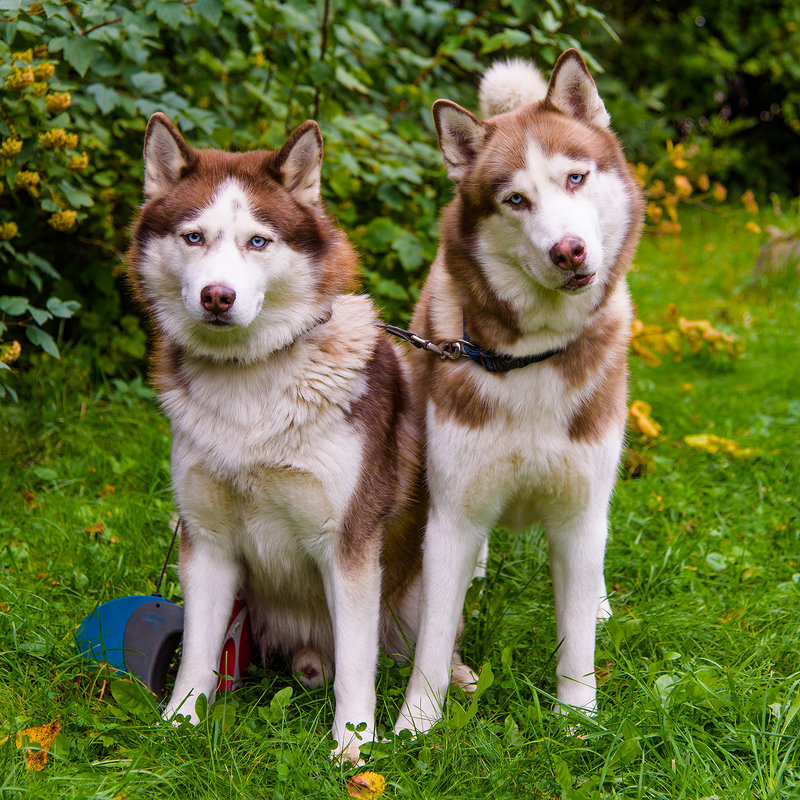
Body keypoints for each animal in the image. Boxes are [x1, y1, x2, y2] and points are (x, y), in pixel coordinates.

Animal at [130, 114, 434, 764]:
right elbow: (197, 653)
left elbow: (358, 667)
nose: (217, 296)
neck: (250, 381)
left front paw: (353, 750)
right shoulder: (207, 541)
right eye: (194, 237)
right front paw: (179, 724)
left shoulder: (347, 546)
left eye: (258, 242)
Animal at [394, 51, 644, 736]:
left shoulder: (579, 510)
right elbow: (433, 634)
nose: (569, 251)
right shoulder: (452, 514)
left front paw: (577, 719)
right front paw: (413, 724)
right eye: (515, 199)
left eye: (576, 178)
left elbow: (576, 634)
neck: (532, 357)